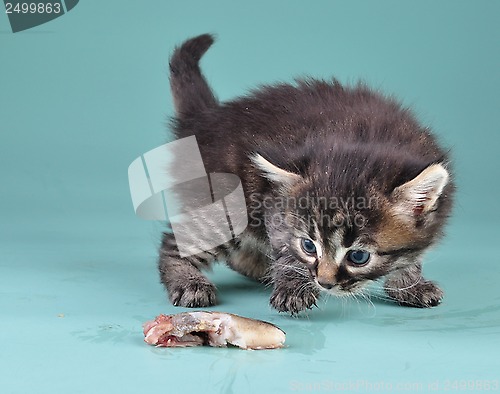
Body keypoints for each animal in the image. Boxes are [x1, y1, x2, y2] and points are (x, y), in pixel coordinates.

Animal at [158, 35, 456, 316]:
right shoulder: (274, 206)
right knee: (175, 243)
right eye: (308, 246)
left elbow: (412, 255)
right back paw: (189, 281)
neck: (366, 139)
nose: (324, 283)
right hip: (227, 209)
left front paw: (409, 282)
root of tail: (204, 119)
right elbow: (287, 249)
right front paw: (293, 285)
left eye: (358, 256)